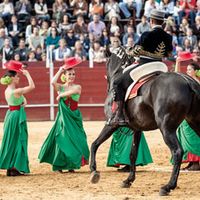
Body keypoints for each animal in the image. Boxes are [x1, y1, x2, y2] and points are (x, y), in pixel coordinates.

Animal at [90, 46, 200, 196]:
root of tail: (188, 81)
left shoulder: (110, 125)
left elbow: (94, 144)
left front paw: (93, 171)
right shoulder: (137, 129)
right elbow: (132, 154)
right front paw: (128, 180)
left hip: (166, 128)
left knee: (177, 151)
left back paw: (168, 186)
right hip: (194, 121)